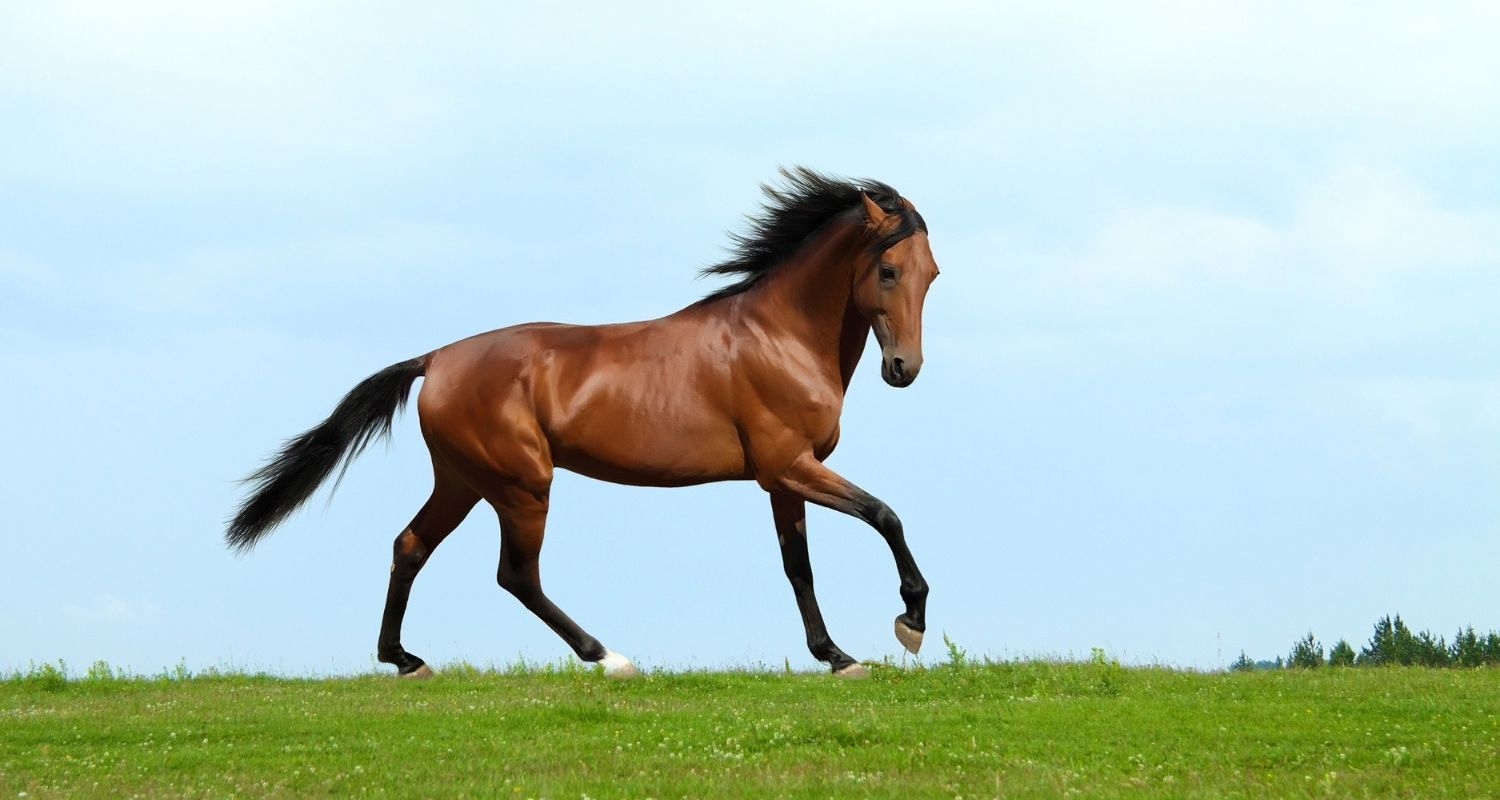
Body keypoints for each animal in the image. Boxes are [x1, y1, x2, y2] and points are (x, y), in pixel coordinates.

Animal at [225, 168, 936, 681]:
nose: (904, 368)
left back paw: (405, 659)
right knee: (516, 575)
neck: (777, 337)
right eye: (888, 270)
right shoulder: (789, 465)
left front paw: (836, 656)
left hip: (463, 480)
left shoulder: (785, 477)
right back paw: (607, 656)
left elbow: (798, 566)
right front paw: (909, 622)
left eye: (931, 274)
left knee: (410, 545)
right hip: (521, 485)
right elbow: (885, 515)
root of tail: (436, 359)